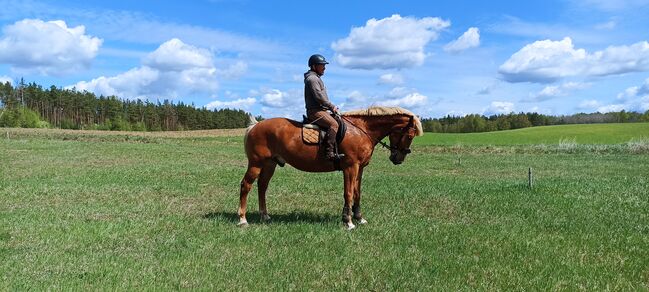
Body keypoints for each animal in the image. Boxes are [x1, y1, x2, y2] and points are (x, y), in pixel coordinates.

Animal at [235, 106, 422, 229]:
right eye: (410, 135)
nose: (398, 159)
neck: (361, 130)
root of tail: (256, 126)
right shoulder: (350, 167)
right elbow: (348, 193)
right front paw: (348, 221)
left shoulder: (360, 168)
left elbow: (357, 192)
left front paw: (359, 218)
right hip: (256, 163)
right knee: (246, 185)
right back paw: (243, 219)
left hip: (269, 164)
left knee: (262, 186)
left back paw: (265, 215)